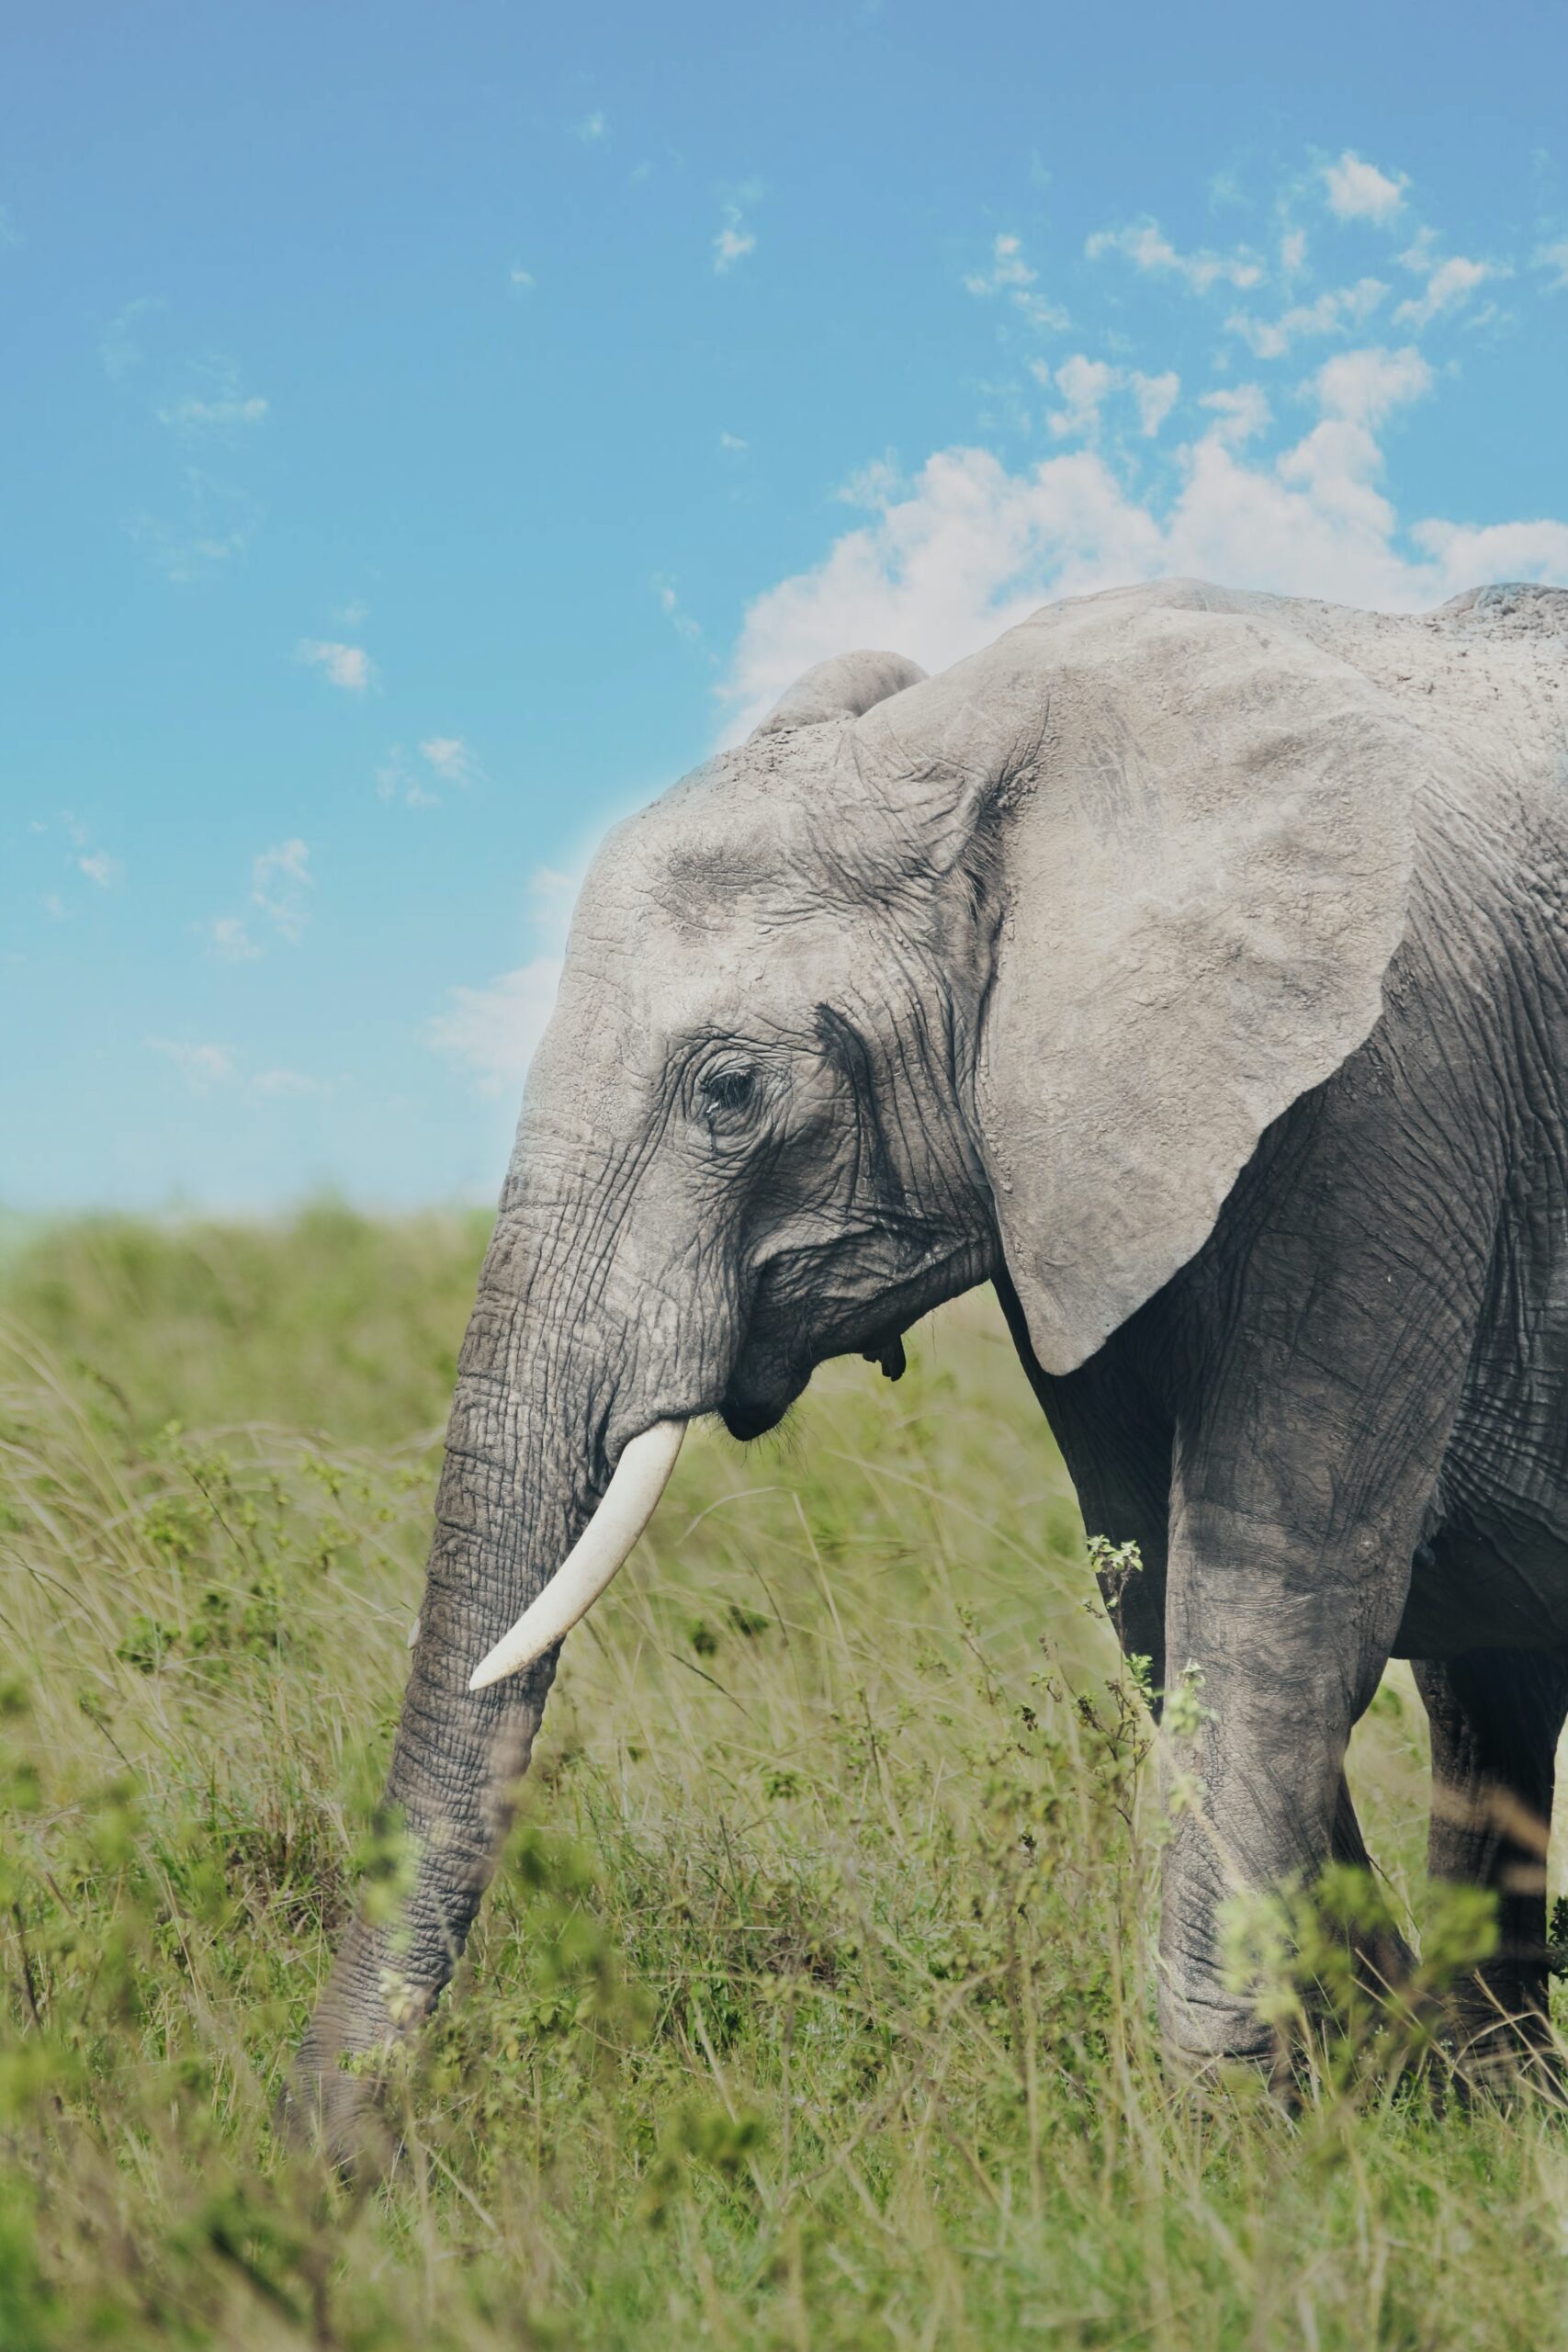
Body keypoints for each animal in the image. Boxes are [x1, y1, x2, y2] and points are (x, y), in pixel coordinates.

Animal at [288, 573, 1568, 2154]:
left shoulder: (1386, 1090)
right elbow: (1152, 1590)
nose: (332, 2167)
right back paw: (1498, 2078)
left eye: (729, 1090)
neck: (977, 738)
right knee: (1486, 1690)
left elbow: (1276, 1595)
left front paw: (1229, 2145)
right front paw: (1370, 2079)